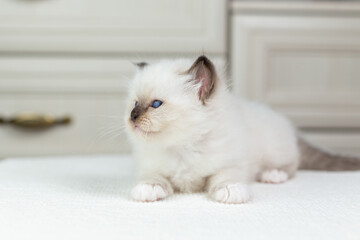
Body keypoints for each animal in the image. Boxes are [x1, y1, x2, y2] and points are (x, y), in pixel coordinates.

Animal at [124, 56, 360, 204]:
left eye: (156, 104)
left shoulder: (230, 164)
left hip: (276, 150)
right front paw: (148, 189)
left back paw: (272, 175)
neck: (182, 147)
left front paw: (231, 192)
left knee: (292, 166)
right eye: (134, 104)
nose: (132, 117)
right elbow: (153, 178)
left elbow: (224, 178)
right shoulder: (150, 167)